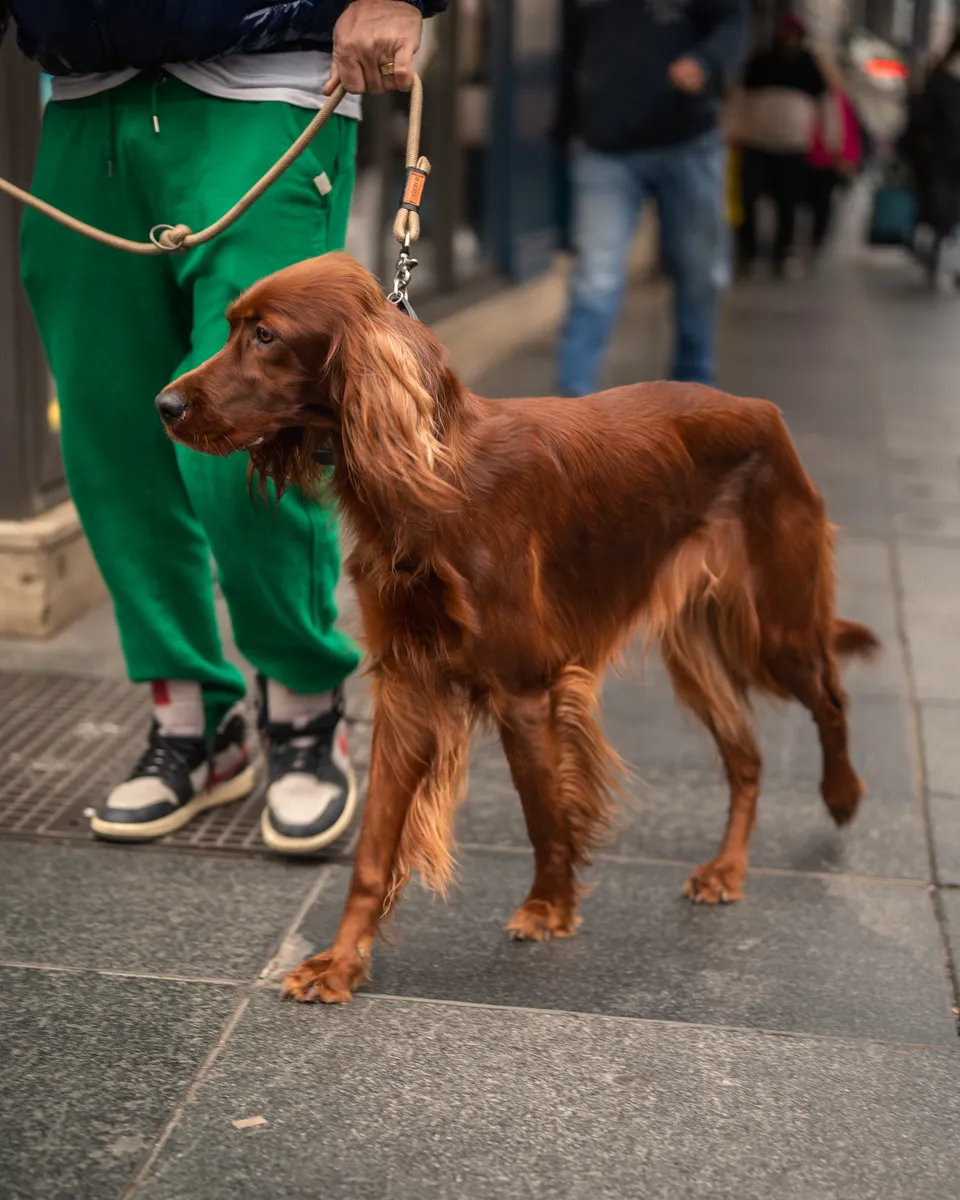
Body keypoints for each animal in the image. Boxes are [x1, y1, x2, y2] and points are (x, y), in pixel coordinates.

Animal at [156, 253, 878, 1003]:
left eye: (265, 335)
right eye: (232, 326)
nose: (164, 406)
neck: (431, 479)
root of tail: (764, 412)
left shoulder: (523, 687)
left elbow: (543, 810)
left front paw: (550, 908)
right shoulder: (407, 686)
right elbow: (375, 845)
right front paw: (342, 961)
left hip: (776, 628)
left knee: (830, 696)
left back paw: (842, 796)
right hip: (697, 650)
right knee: (747, 756)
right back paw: (726, 869)